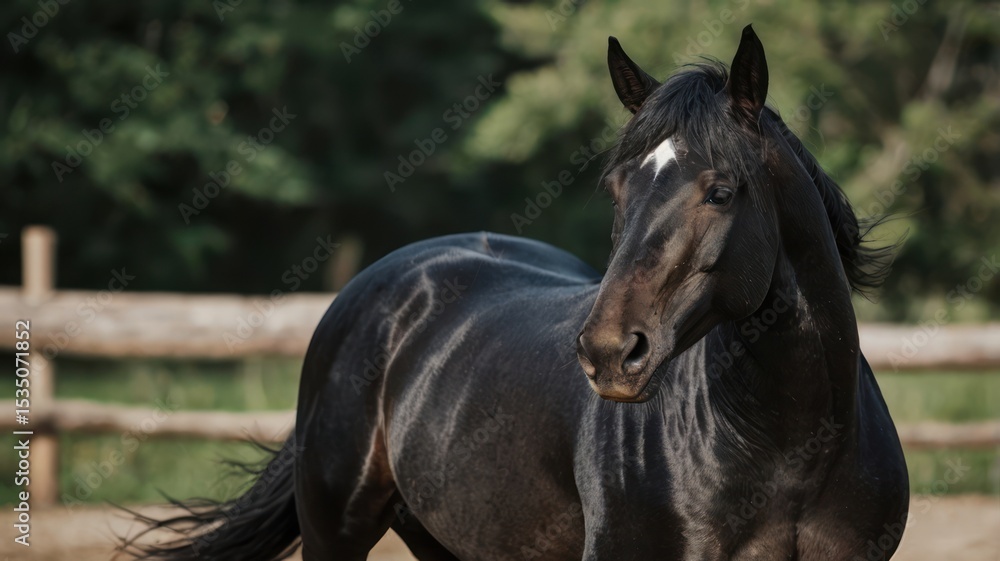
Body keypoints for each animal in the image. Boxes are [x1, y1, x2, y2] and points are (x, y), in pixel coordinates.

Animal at [126, 25, 909, 561]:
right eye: (618, 189)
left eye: (721, 191)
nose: (609, 353)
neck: (790, 449)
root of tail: (376, 289)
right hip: (334, 534)